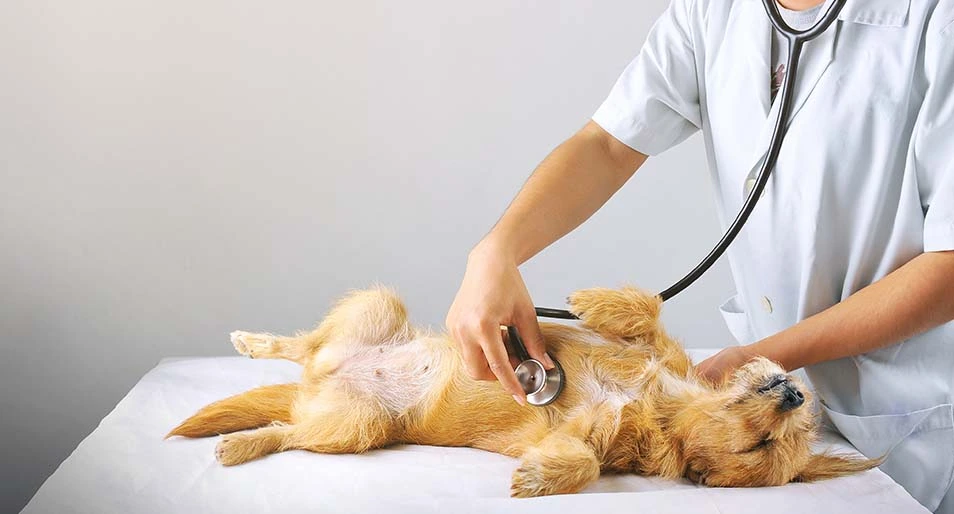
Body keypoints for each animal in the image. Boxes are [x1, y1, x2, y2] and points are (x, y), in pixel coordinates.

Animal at [169, 286, 876, 494]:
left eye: (767, 447)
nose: (794, 395)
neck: (664, 407)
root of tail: (316, 387)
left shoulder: (584, 437)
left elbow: (585, 460)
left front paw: (541, 476)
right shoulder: (653, 350)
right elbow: (643, 310)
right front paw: (593, 299)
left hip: (352, 429)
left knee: (286, 429)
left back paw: (242, 443)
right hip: (376, 305)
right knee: (303, 347)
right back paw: (251, 342)